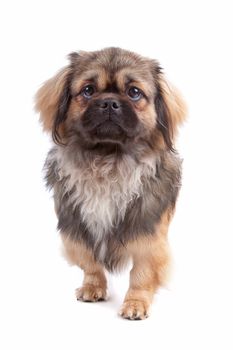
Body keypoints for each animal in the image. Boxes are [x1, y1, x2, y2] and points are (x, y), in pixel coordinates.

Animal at [35, 47, 187, 320]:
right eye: (88, 90)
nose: (108, 102)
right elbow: (90, 263)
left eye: (134, 92)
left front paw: (135, 304)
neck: (107, 161)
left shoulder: (148, 233)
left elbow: (141, 273)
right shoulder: (78, 228)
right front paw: (92, 287)